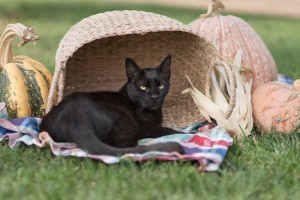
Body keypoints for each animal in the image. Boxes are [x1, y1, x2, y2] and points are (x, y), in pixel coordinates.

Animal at [40, 55, 184, 155]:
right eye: (143, 87)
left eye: (161, 86)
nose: (154, 97)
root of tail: (74, 119)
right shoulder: (152, 129)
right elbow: (171, 130)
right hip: (125, 121)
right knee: (126, 149)